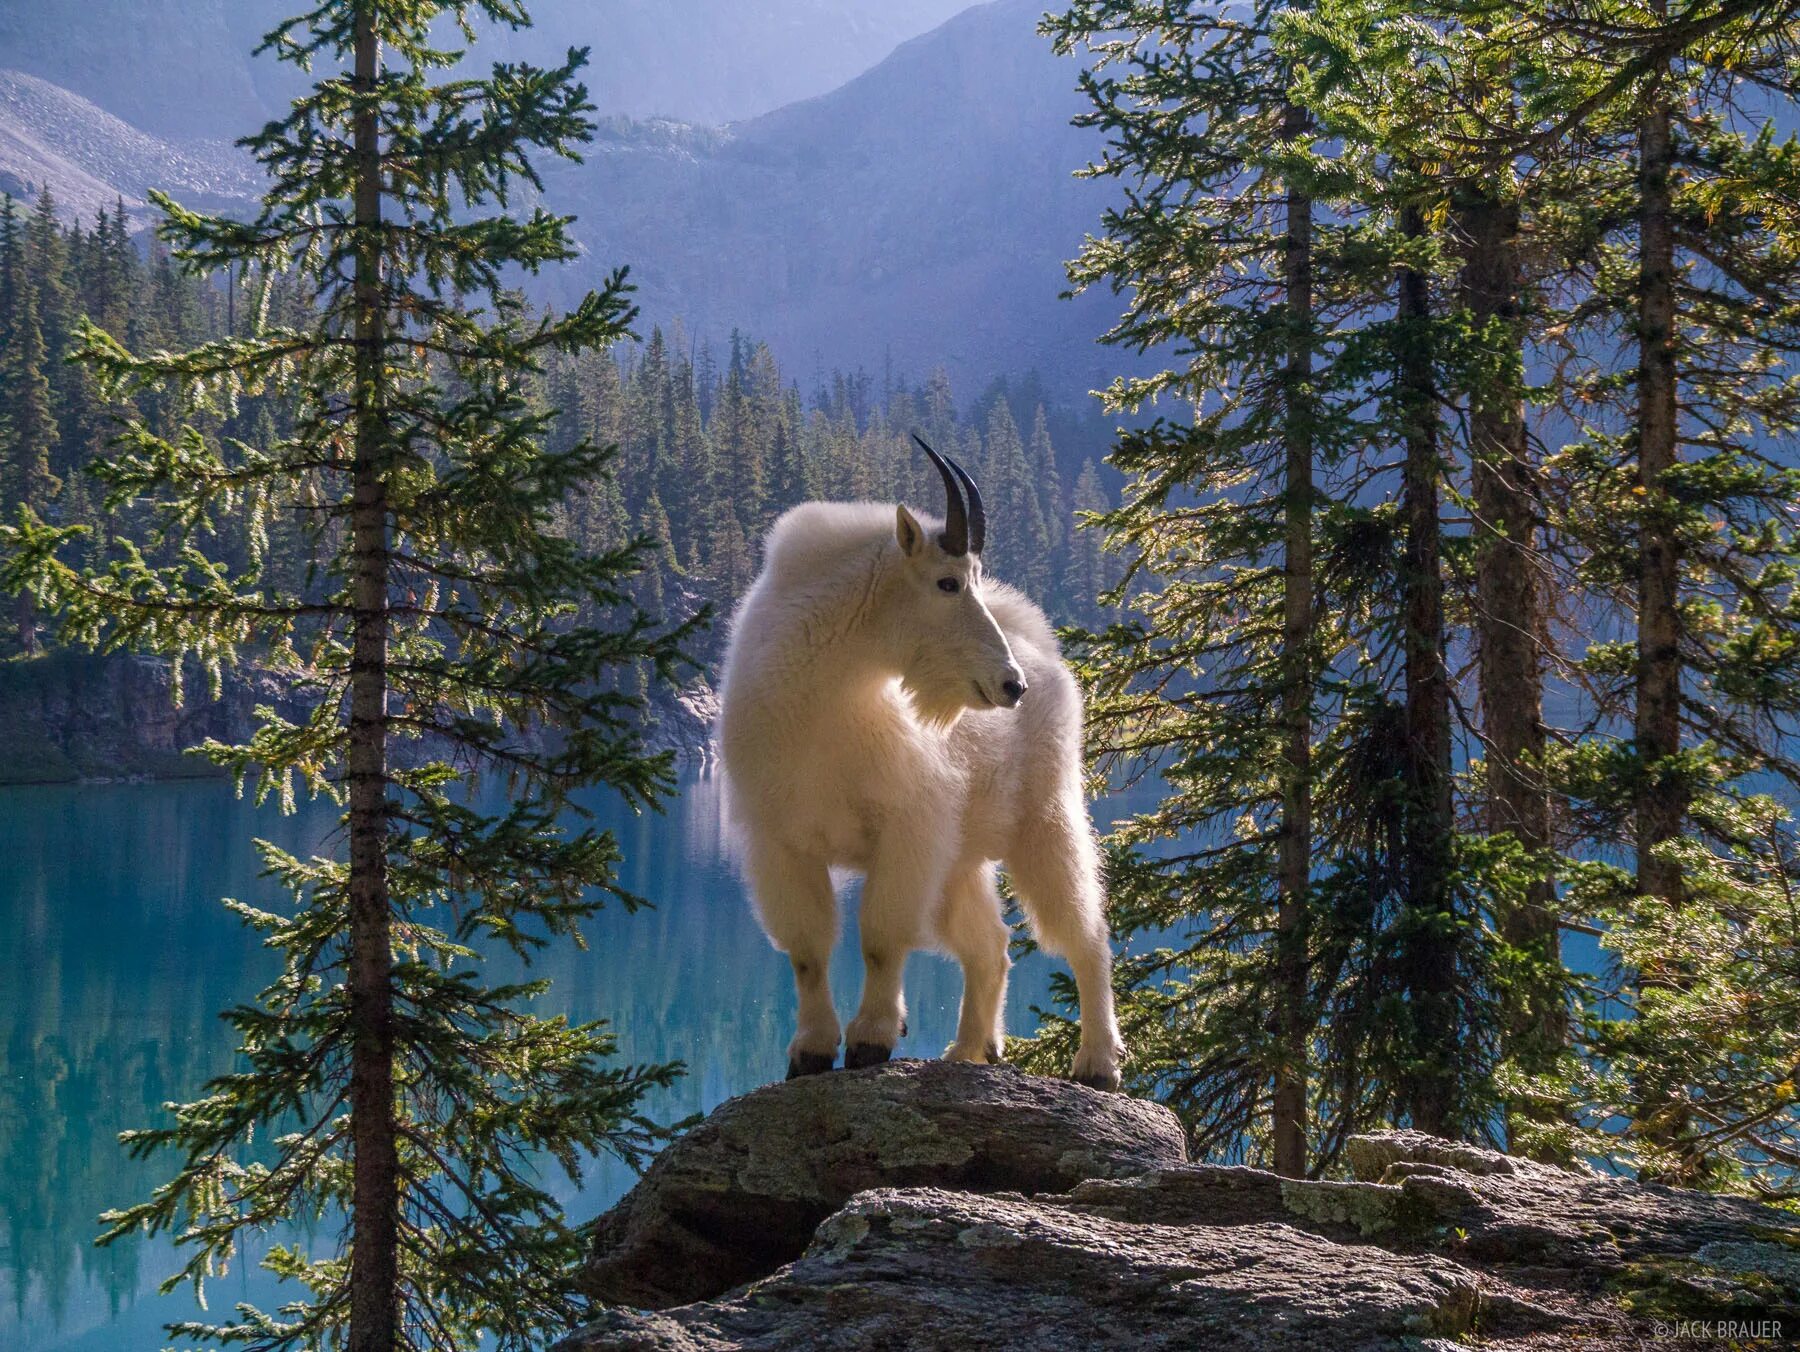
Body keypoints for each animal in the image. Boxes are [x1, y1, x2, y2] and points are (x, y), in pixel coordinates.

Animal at [716, 439, 1123, 1094]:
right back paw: (969, 1052)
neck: (829, 701)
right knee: (990, 946)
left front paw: (870, 1041)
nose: (1011, 685)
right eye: (948, 582)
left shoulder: (906, 830)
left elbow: (882, 938)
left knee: (1085, 933)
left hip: (1046, 816)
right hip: (960, 860)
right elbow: (808, 950)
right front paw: (809, 1052)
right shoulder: (782, 841)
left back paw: (1098, 1063)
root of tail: (1047, 654)